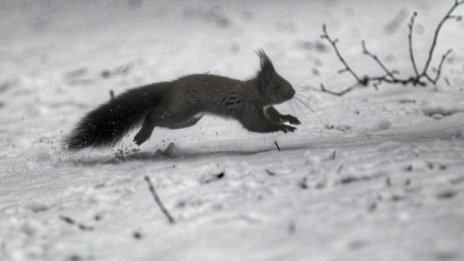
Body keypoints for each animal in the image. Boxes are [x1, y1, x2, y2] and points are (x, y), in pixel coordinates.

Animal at [63, 49, 300, 150]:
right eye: (277, 86)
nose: (293, 92)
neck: (254, 91)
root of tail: (170, 86)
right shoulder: (248, 106)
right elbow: (256, 124)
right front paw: (283, 128)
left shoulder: (265, 106)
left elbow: (273, 114)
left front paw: (289, 118)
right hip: (180, 108)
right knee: (153, 116)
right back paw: (143, 134)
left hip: (182, 113)